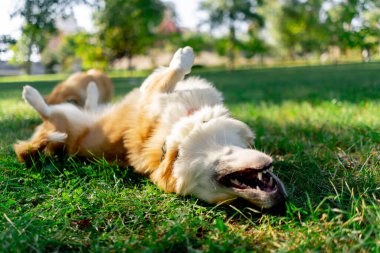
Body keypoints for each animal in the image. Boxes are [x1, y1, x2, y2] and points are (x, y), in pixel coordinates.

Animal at [14, 46, 288, 209]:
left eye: (230, 201)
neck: (172, 143)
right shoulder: (153, 92)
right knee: (48, 109)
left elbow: (169, 75)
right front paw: (184, 55)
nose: (279, 200)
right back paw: (33, 93)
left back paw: (84, 91)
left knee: (68, 108)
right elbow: (173, 72)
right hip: (66, 116)